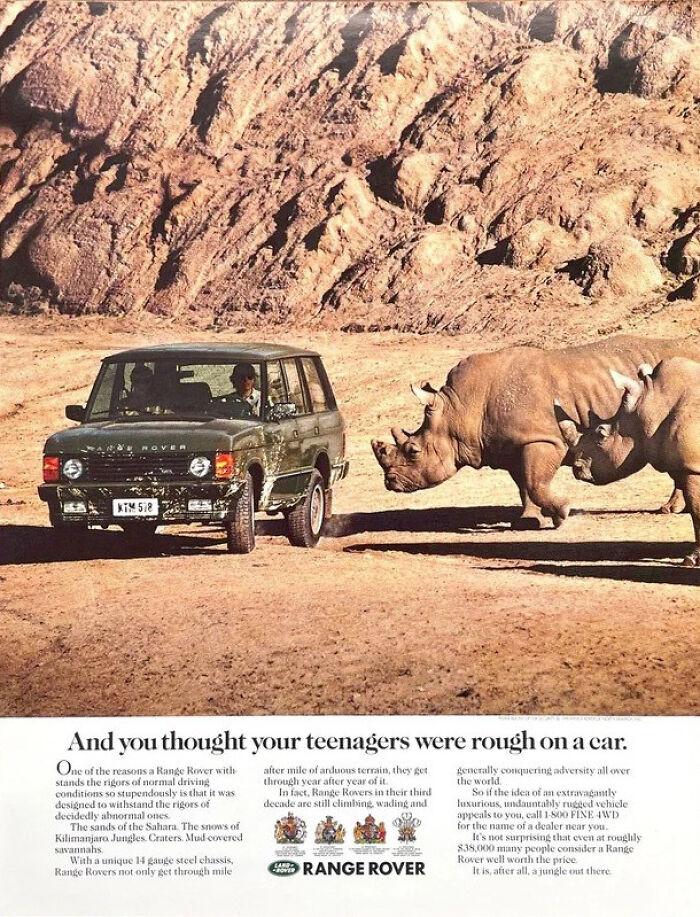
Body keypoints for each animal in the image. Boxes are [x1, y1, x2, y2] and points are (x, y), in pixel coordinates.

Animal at [371, 335, 700, 529]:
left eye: (413, 452)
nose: (391, 483)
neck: (459, 409)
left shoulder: (543, 438)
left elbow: (535, 481)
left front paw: (563, 513)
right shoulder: (509, 444)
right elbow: (524, 484)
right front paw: (528, 521)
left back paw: (668, 510)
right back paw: (673, 509)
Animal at [557, 357, 700, 566]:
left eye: (601, 435)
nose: (577, 468)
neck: (652, 405)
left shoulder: (692, 469)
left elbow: (696, 512)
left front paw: (690, 559)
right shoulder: (685, 466)